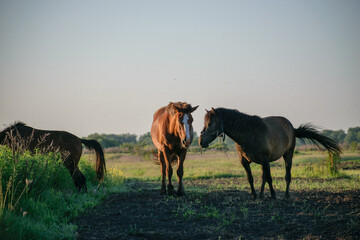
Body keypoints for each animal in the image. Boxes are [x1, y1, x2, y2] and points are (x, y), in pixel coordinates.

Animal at [198, 108, 342, 200]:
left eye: (210, 123)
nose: (201, 141)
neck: (248, 133)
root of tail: (292, 128)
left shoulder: (265, 160)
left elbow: (270, 178)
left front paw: (273, 194)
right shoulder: (245, 161)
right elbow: (251, 178)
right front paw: (254, 195)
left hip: (288, 155)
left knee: (287, 176)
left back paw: (286, 195)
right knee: (263, 177)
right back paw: (262, 194)